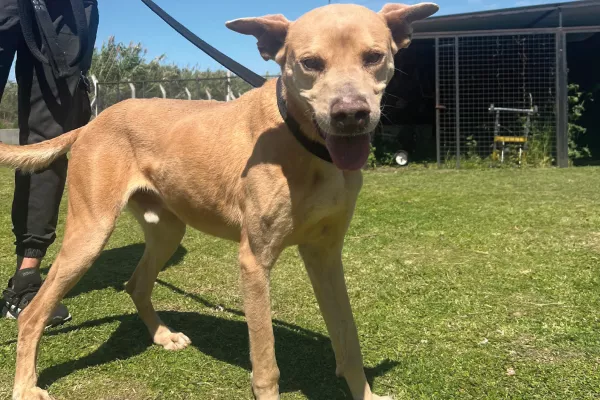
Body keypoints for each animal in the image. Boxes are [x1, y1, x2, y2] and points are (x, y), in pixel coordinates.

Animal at [2, 3, 438, 399]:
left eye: (374, 57)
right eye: (310, 63)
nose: (350, 114)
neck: (304, 142)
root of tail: (93, 122)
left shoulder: (326, 254)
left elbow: (348, 338)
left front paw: (364, 393)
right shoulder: (254, 262)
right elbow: (266, 361)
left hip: (167, 230)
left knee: (136, 283)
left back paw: (162, 335)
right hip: (90, 233)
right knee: (34, 314)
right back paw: (26, 386)